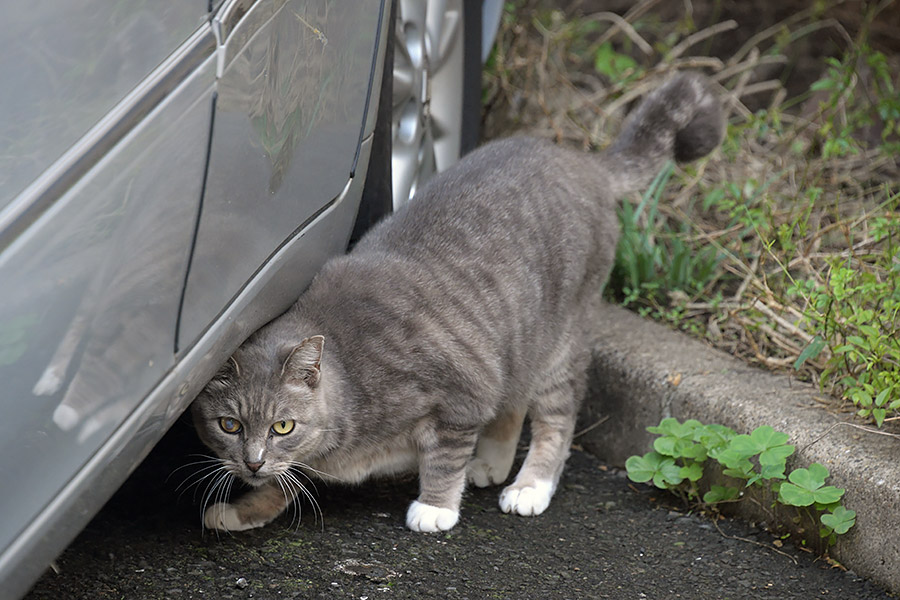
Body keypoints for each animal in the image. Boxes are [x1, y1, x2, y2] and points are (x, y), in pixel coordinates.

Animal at [190, 71, 724, 536]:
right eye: (229, 425)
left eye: (283, 425)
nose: (252, 461)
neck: (350, 386)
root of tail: (583, 160)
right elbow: (283, 483)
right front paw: (243, 508)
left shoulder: (462, 395)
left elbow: (444, 458)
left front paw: (436, 507)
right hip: (514, 338)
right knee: (513, 398)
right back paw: (490, 462)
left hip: (559, 341)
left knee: (556, 417)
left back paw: (528, 485)